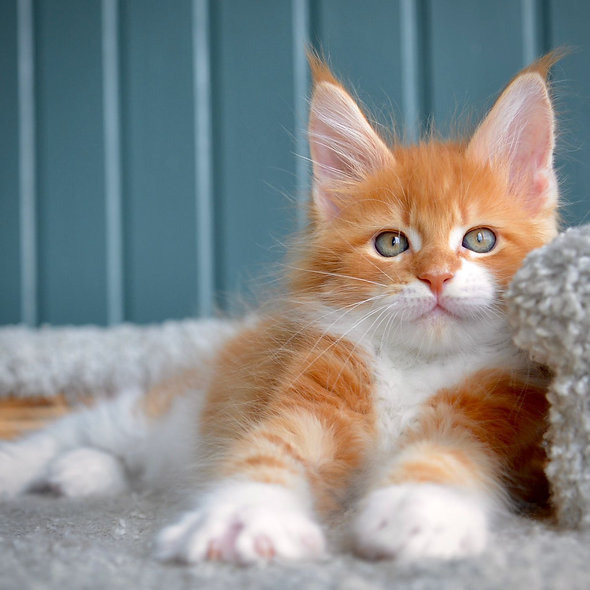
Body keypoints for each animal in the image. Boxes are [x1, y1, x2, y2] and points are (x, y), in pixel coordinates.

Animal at [0, 56, 560, 568]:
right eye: (392, 243)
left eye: (479, 240)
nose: (437, 277)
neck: (414, 365)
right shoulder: (310, 396)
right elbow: (270, 450)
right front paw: (245, 517)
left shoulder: (491, 414)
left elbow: (449, 453)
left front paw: (420, 509)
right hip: (167, 407)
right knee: (79, 427)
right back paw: (28, 465)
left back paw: (82, 471)